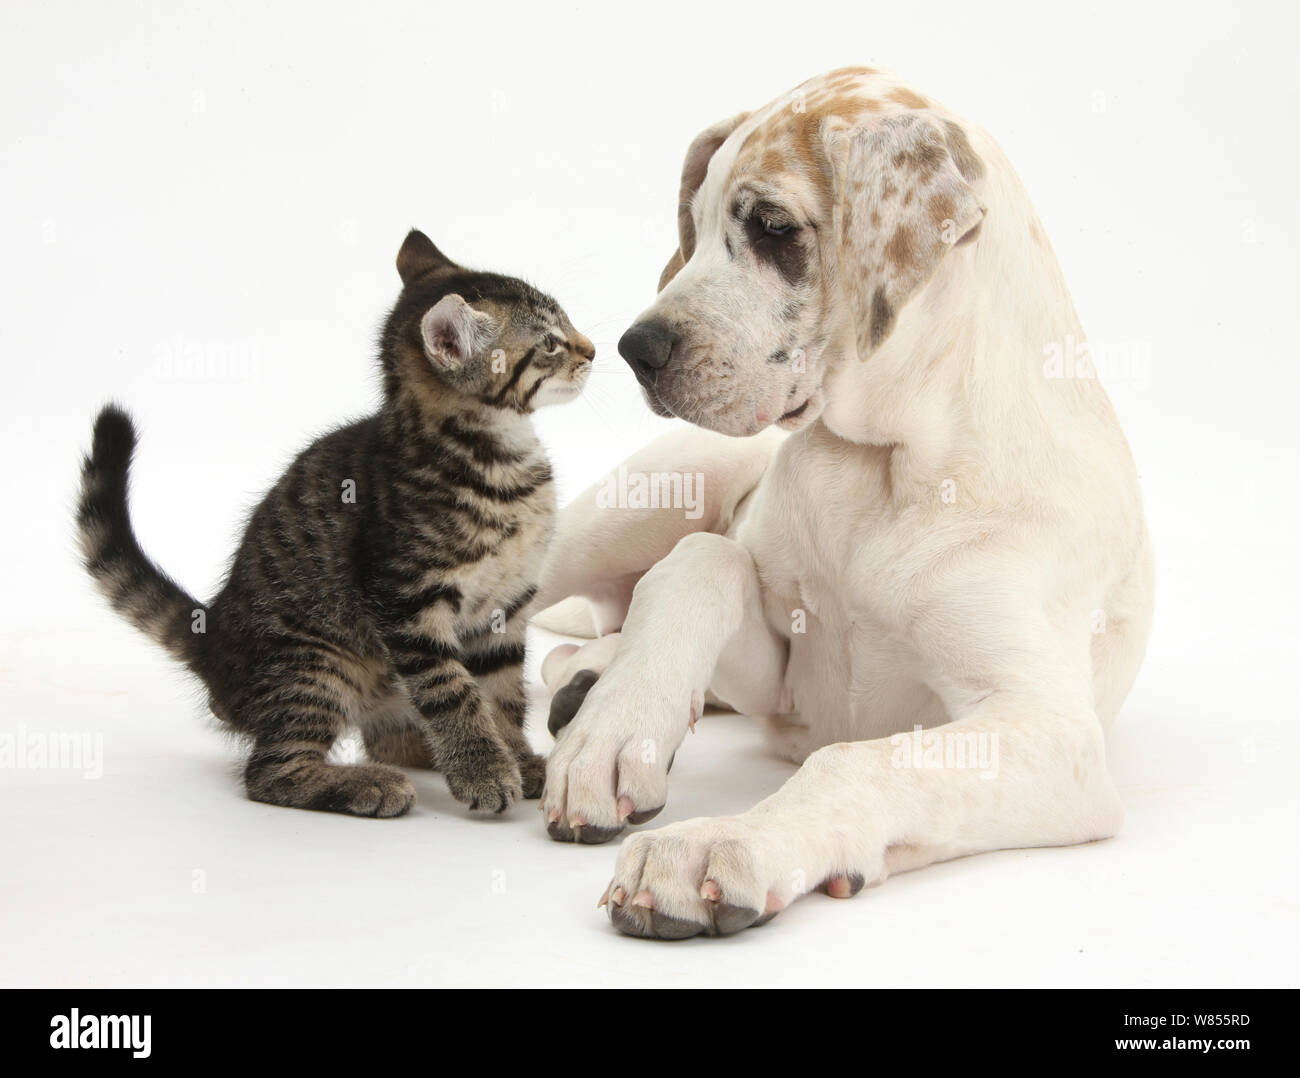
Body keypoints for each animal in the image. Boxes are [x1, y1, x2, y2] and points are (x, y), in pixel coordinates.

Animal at [76, 228, 595, 816]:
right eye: (550, 343)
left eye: (566, 324)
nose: (592, 349)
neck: (499, 461)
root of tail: (213, 644)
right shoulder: (406, 602)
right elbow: (453, 691)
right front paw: (484, 771)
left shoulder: (504, 606)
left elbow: (502, 693)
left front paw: (516, 758)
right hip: (315, 663)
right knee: (270, 772)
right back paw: (367, 784)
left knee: (386, 740)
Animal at [533, 67, 1154, 936]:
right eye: (694, 222)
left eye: (772, 227)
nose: (634, 350)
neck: (881, 464)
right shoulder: (787, 682)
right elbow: (703, 561)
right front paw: (618, 734)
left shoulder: (1047, 731)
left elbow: (855, 763)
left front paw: (722, 842)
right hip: (634, 502)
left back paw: (583, 681)